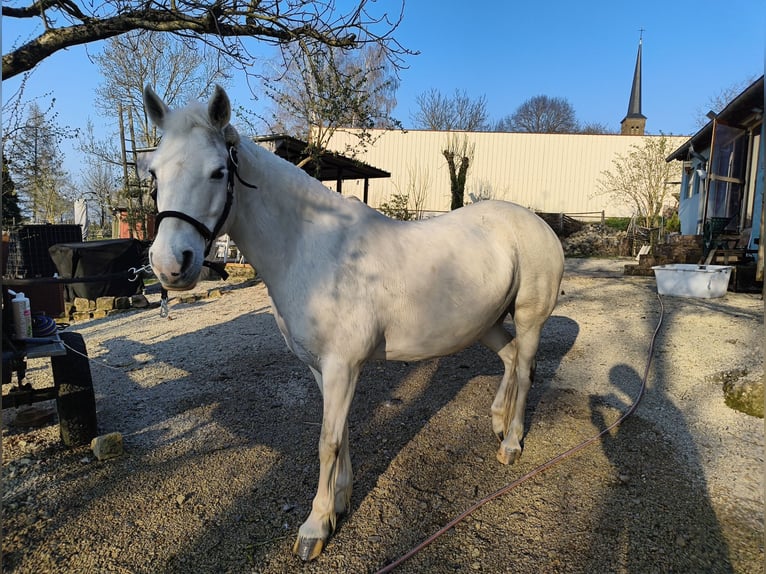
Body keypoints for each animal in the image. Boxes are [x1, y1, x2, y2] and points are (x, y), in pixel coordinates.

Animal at [143, 85, 565, 561]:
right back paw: (497, 423)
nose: (170, 264)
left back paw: (511, 443)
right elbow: (340, 434)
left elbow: (327, 442)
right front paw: (339, 504)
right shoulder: (322, 367)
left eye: (218, 172)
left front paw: (314, 528)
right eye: (154, 173)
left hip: (529, 319)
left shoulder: (342, 366)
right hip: (486, 322)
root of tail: (537, 222)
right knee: (510, 359)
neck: (313, 249)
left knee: (526, 370)